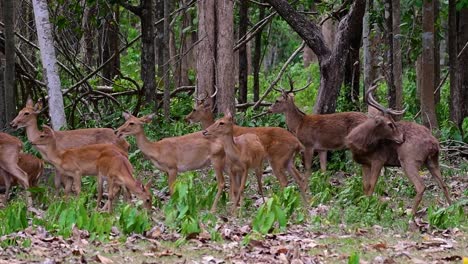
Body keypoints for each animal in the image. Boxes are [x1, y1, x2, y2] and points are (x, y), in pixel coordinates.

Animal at [346, 85, 452, 214]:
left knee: (421, 186)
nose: (401, 137)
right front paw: (364, 205)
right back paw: (452, 209)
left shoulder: (378, 159)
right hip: (432, 160)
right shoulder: (365, 163)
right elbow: (365, 187)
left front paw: (369, 208)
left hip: (408, 159)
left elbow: (371, 186)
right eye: (389, 124)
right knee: (444, 185)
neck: (359, 144)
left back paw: (411, 214)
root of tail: (434, 143)